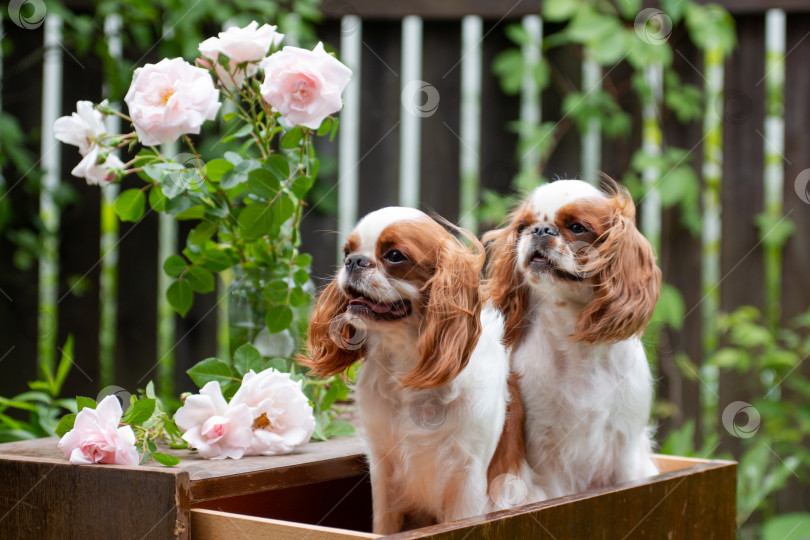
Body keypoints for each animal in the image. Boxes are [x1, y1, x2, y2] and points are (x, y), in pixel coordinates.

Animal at [304, 208, 536, 536]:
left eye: (395, 256)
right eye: (347, 252)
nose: (354, 262)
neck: (408, 362)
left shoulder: (468, 480)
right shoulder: (383, 472)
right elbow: (383, 525)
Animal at [482, 180, 660, 498]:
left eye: (577, 227)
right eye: (523, 226)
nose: (540, 230)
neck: (578, 343)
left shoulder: (626, 448)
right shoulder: (545, 457)